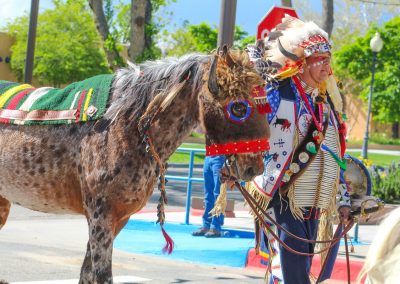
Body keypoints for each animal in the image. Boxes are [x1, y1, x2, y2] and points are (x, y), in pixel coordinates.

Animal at [0, 47, 270, 282]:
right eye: (238, 107)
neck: (123, 124)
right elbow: (101, 275)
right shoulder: (100, 216)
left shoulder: (119, 218)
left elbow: (87, 273)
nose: (255, 167)